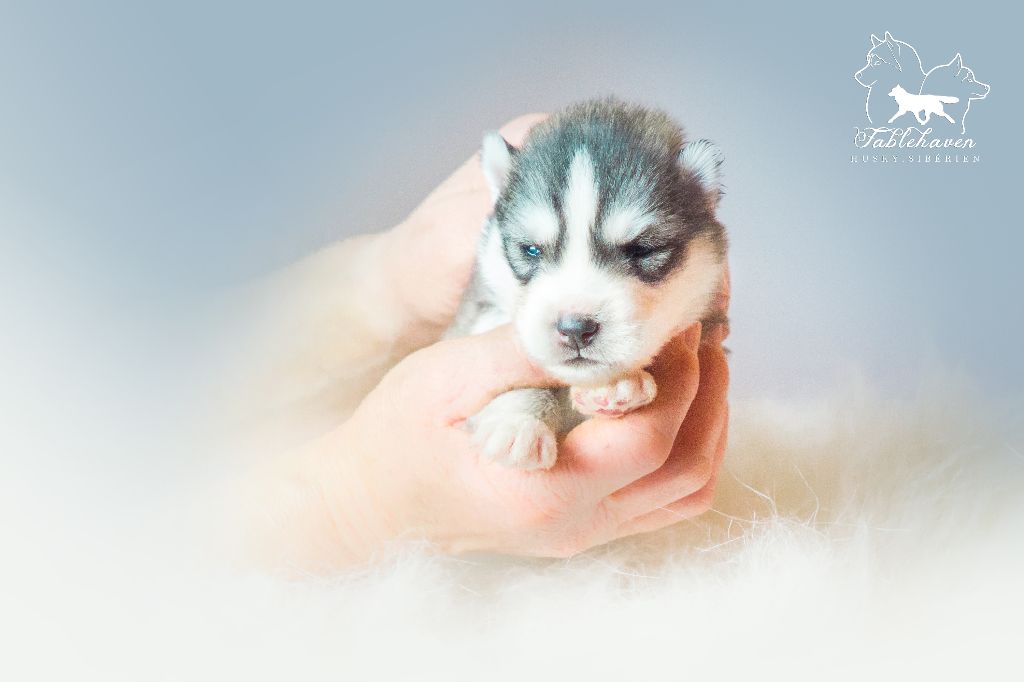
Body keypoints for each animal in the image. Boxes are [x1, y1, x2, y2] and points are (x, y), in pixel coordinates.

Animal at [446, 98, 728, 469]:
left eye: (641, 249)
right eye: (531, 249)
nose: (575, 328)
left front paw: (617, 385)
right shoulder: (479, 317)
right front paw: (518, 422)